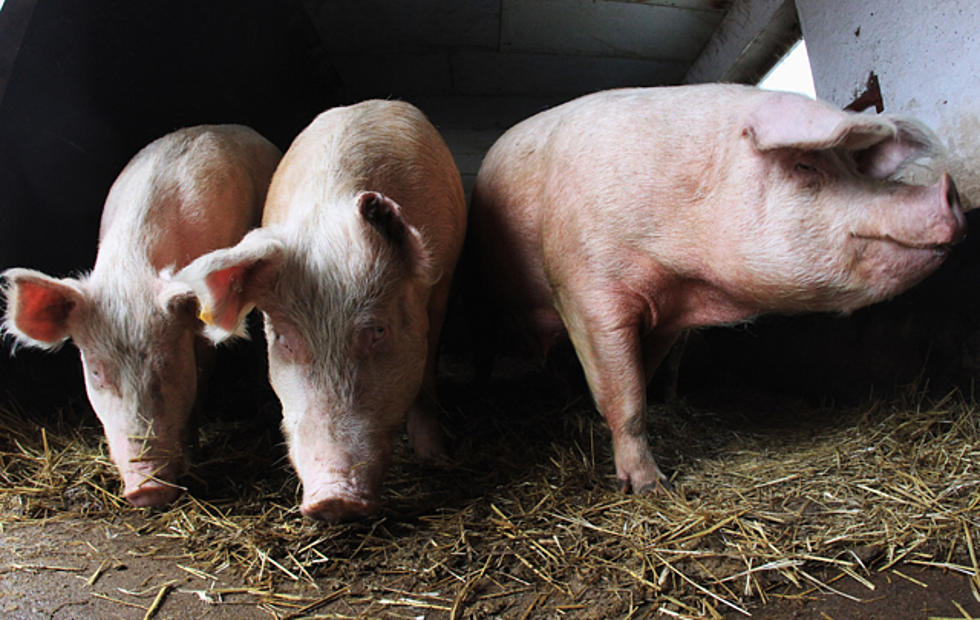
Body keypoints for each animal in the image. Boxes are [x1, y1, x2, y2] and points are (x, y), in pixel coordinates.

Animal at [172, 101, 468, 524]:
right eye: (283, 339)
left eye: (378, 331)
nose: (332, 498)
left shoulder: (438, 294)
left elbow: (425, 378)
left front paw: (436, 460)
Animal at [470, 86, 968, 494]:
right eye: (804, 164)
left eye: (854, 168)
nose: (948, 191)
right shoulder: (586, 289)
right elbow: (625, 397)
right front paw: (652, 487)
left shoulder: (667, 317)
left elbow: (644, 377)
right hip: (484, 296)